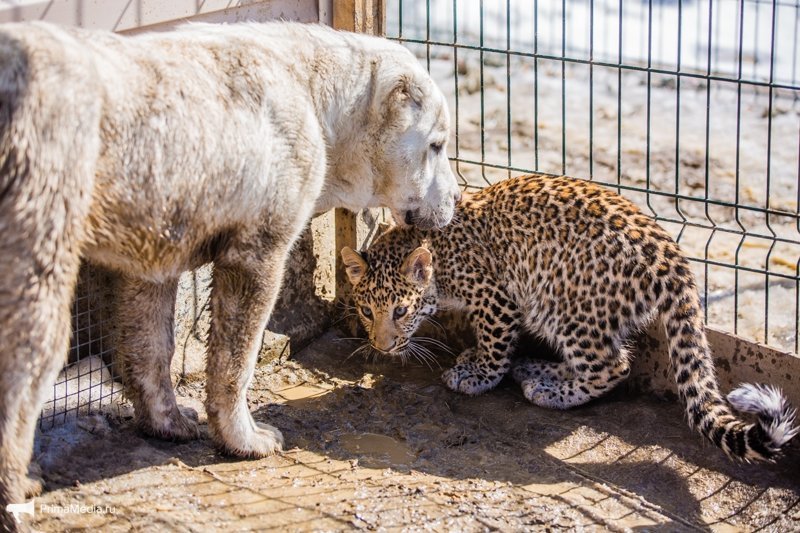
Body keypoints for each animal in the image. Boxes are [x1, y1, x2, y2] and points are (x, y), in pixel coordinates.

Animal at [0, 19, 456, 524]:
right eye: (435, 146)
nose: (456, 200)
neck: (319, 99)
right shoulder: (256, 251)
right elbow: (236, 360)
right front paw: (244, 439)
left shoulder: (156, 250)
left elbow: (150, 348)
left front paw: (168, 422)